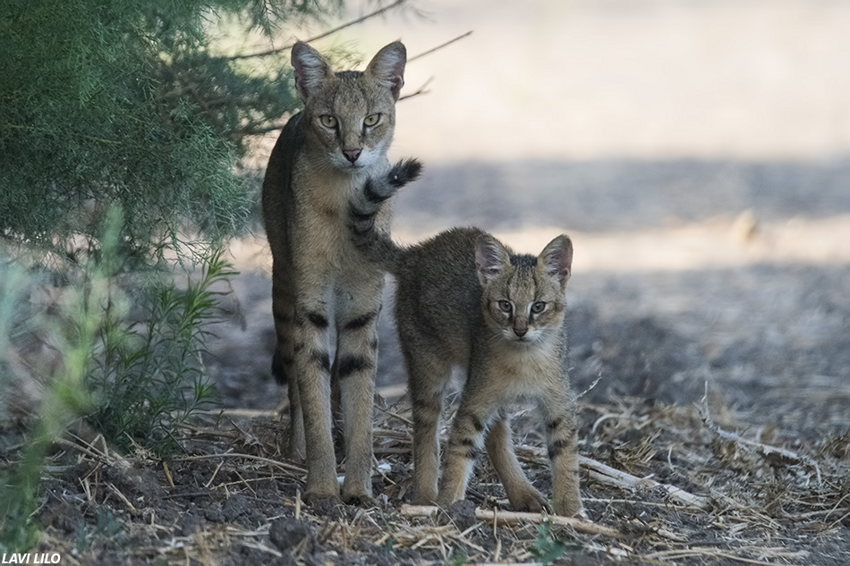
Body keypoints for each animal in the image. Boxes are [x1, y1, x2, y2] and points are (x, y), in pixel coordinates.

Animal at [264, 42, 412, 508]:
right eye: (329, 120)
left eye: (372, 119)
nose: (351, 153)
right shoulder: (309, 306)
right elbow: (311, 393)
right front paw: (323, 486)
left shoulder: (362, 310)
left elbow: (359, 397)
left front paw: (360, 486)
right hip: (284, 288)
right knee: (296, 381)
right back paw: (297, 449)